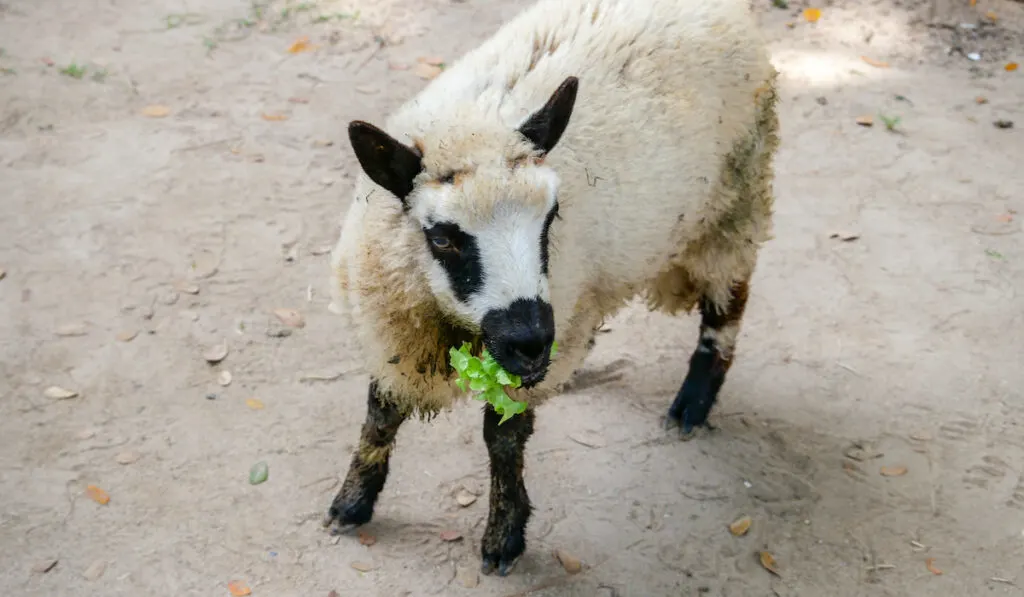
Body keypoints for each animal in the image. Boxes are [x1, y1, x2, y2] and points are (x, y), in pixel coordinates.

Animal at [323, 0, 778, 573]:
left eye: (552, 216)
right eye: (443, 237)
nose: (531, 342)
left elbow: (502, 437)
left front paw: (503, 537)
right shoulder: (392, 333)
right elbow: (379, 415)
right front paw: (351, 502)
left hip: (735, 203)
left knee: (726, 309)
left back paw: (691, 406)